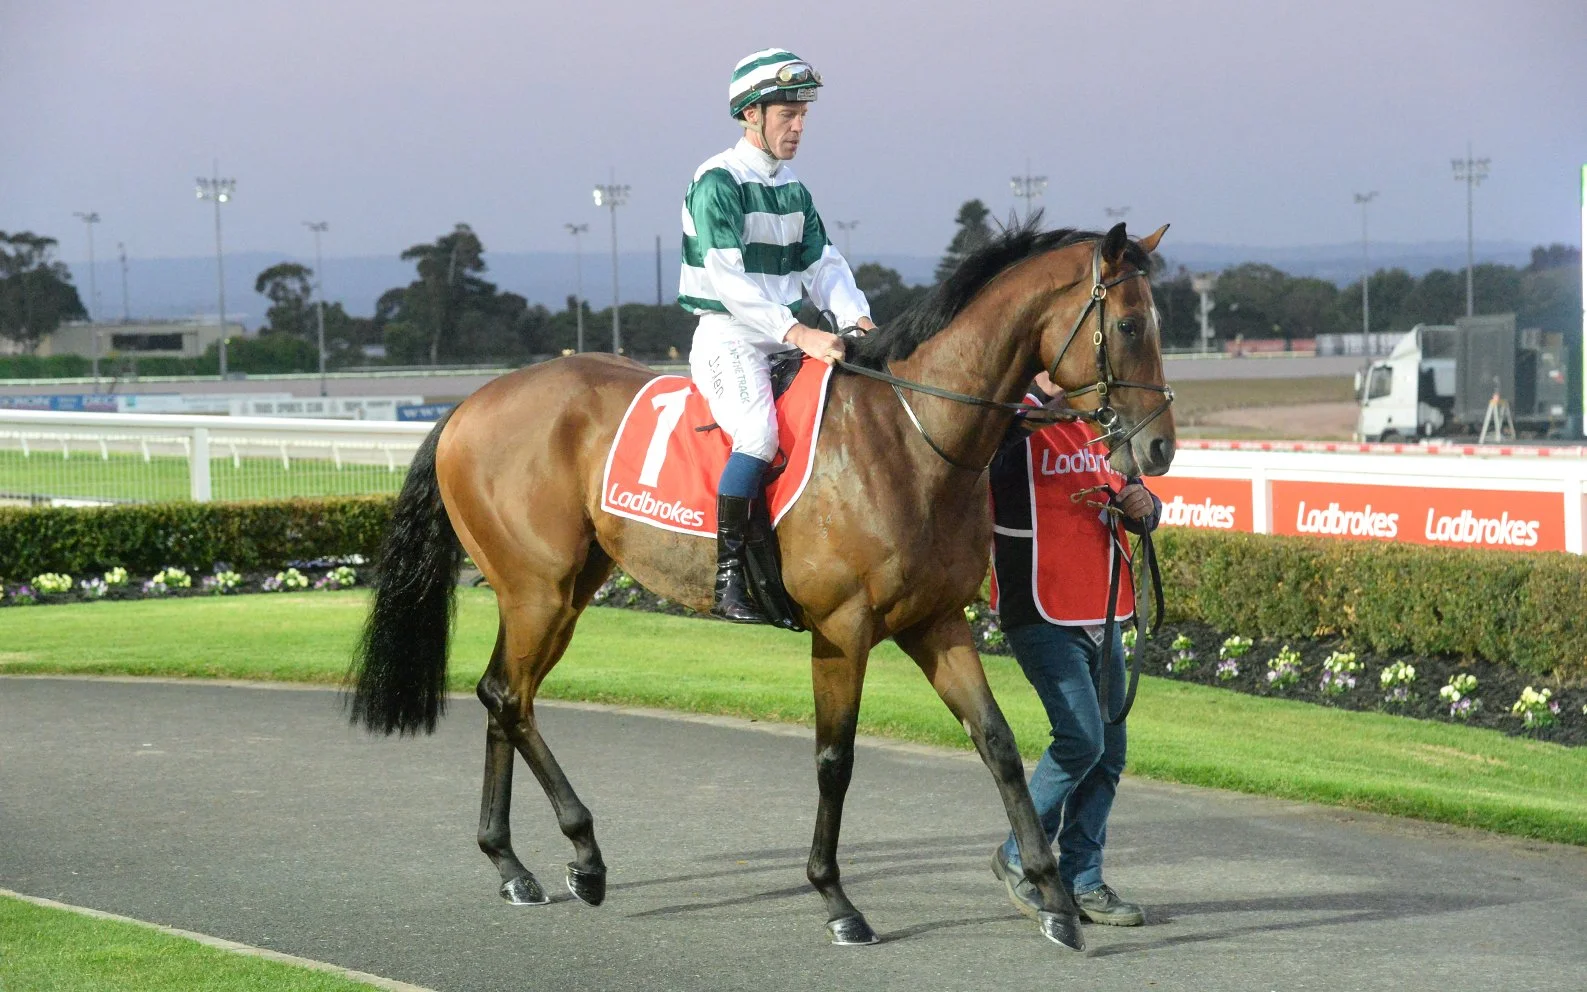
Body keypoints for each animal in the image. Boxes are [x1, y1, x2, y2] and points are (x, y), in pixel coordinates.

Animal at [349, 219, 1176, 952]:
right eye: (1131, 324)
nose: (1158, 448)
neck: (908, 434)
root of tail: (468, 404)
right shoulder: (841, 629)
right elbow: (834, 760)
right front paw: (837, 900)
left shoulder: (936, 622)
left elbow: (998, 743)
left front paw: (1054, 900)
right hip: (539, 590)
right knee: (509, 698)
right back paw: (583, 853)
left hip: (561, 590)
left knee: (503, 696)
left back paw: (510, 861)